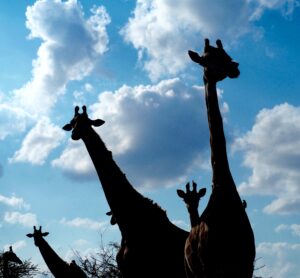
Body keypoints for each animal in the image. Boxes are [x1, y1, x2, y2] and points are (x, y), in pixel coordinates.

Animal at [178, 39, 255, 278]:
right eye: (207, 59)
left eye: (226, 54)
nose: (234, 67)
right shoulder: (210, 268)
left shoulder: (245, 264)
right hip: (190, 271)